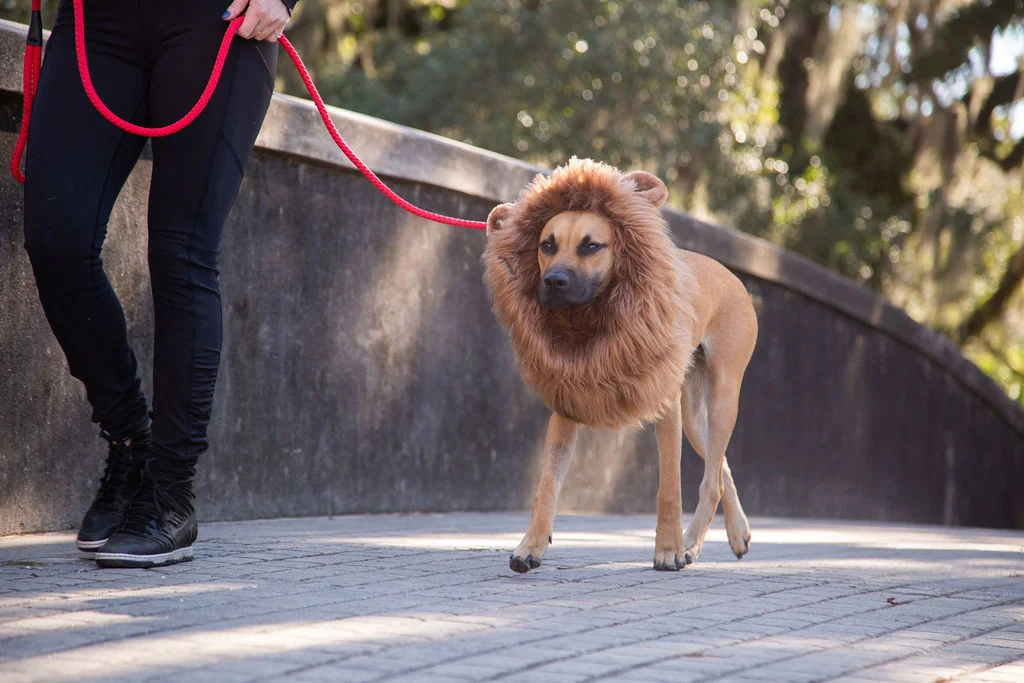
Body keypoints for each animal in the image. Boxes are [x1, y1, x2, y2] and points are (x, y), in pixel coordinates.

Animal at [481, 157, 761, 573]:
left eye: (591, 246)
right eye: (546, 245)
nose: (553, 281)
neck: (594, 318)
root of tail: (730, 276)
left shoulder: (665, 408)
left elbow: (669, 487)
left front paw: (668, 549)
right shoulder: (566, 405)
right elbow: (547, 485)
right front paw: (529, 546)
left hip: (724, 395)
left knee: (711, 482)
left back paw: (690, 544)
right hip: (697, 417)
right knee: (721, 467)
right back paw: (736, 533)